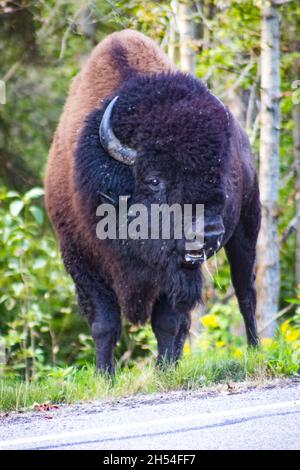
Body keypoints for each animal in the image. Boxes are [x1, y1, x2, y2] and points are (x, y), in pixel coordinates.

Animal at [45, 29, 262, 374]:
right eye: (154, 180)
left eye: (217, 174)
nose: (209, 232)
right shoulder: (81, 261)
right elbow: (104, 324)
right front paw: (105, 376)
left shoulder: (175, 271)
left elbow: (167, 322)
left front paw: (163, 371)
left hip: (246, 228)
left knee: (245, 292)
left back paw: (255, 349)